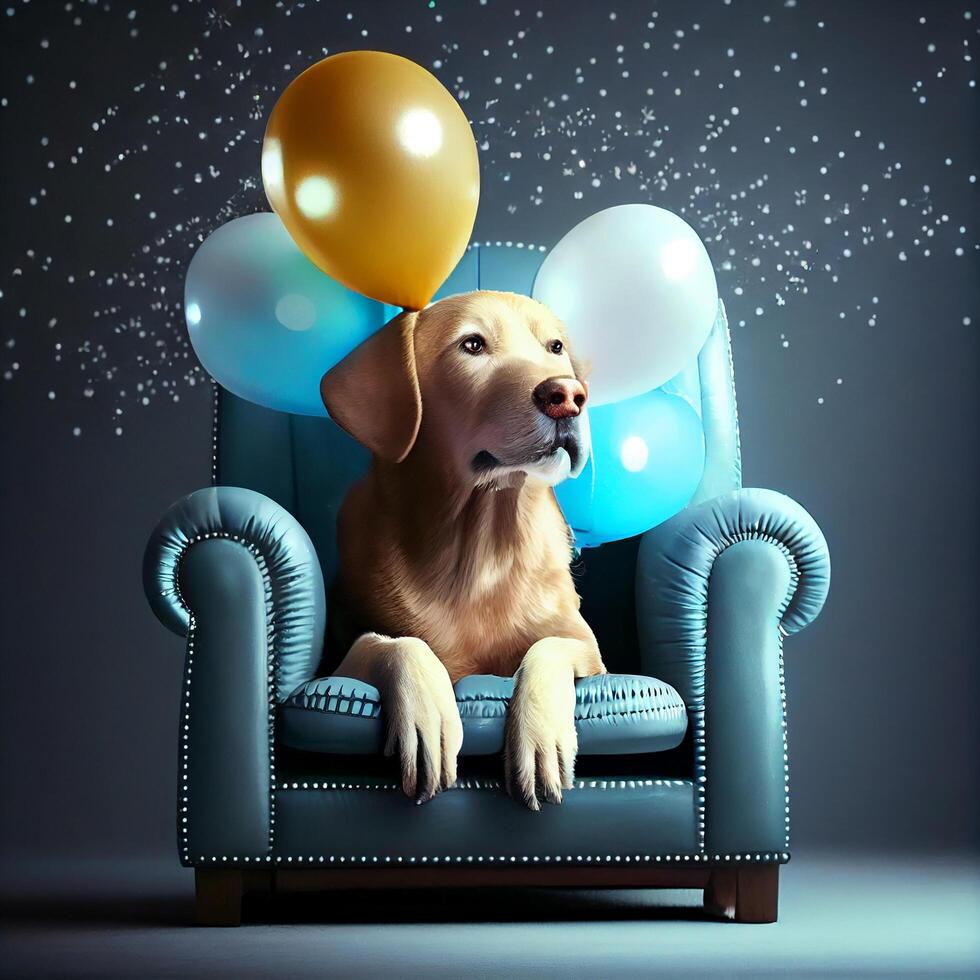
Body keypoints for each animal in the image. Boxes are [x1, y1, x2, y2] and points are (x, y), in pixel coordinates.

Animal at [322, 290, 600, 812]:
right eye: (472, 344)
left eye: (554, 346)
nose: (568, 396)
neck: (482, 547)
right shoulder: (339, 661)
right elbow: (390, 642)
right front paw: (428, 713)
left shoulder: (590, 650)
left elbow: (549, 646)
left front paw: (540, 737)